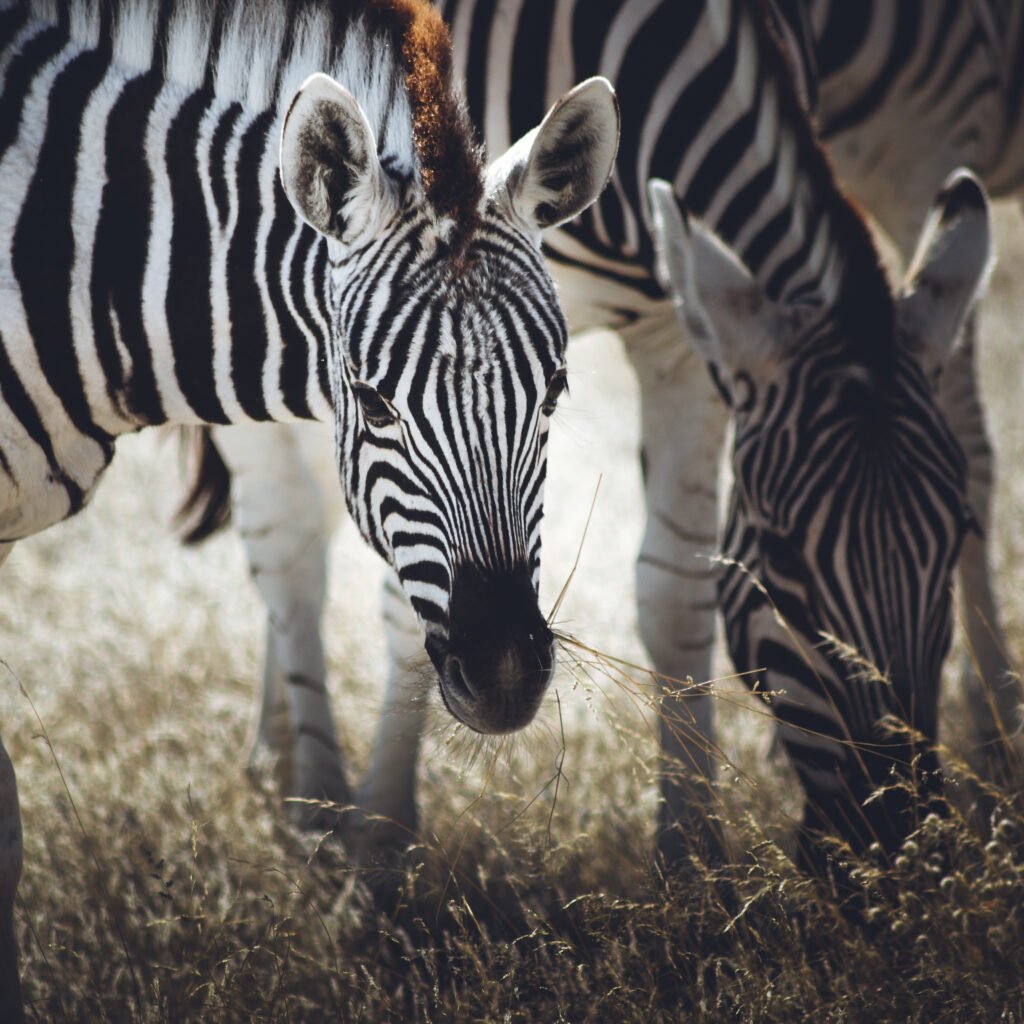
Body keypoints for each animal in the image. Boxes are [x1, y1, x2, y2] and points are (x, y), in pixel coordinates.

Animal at [178, 0, 1009, 870]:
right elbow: (398, 588)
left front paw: (693, 849)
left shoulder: (674, 328)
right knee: (287, 543)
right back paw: (312, 792)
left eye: (956, 536)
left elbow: (674, 588)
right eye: (781, 559)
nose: (903, 852)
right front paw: (380, 839)